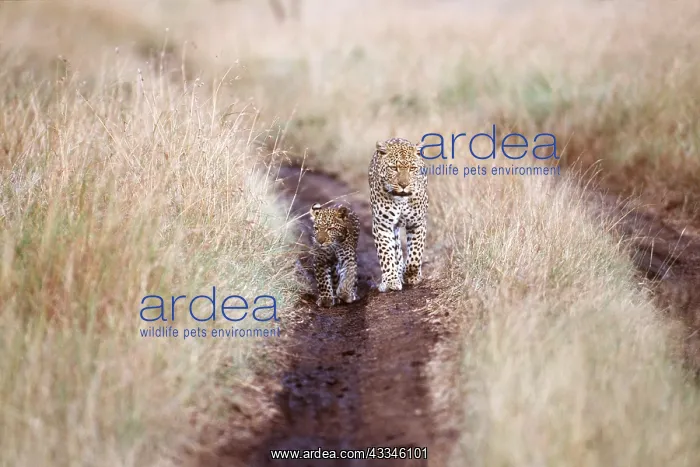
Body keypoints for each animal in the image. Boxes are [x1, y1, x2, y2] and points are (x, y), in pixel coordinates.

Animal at [368, 137, 428, 292]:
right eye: (393, 168)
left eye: (412, 168)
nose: (403, 185)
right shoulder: (382, 225)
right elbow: (386, 254)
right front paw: (391, 280)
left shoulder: (418, 223)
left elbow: (415, 255)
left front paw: (411, 276)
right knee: (395, 249)